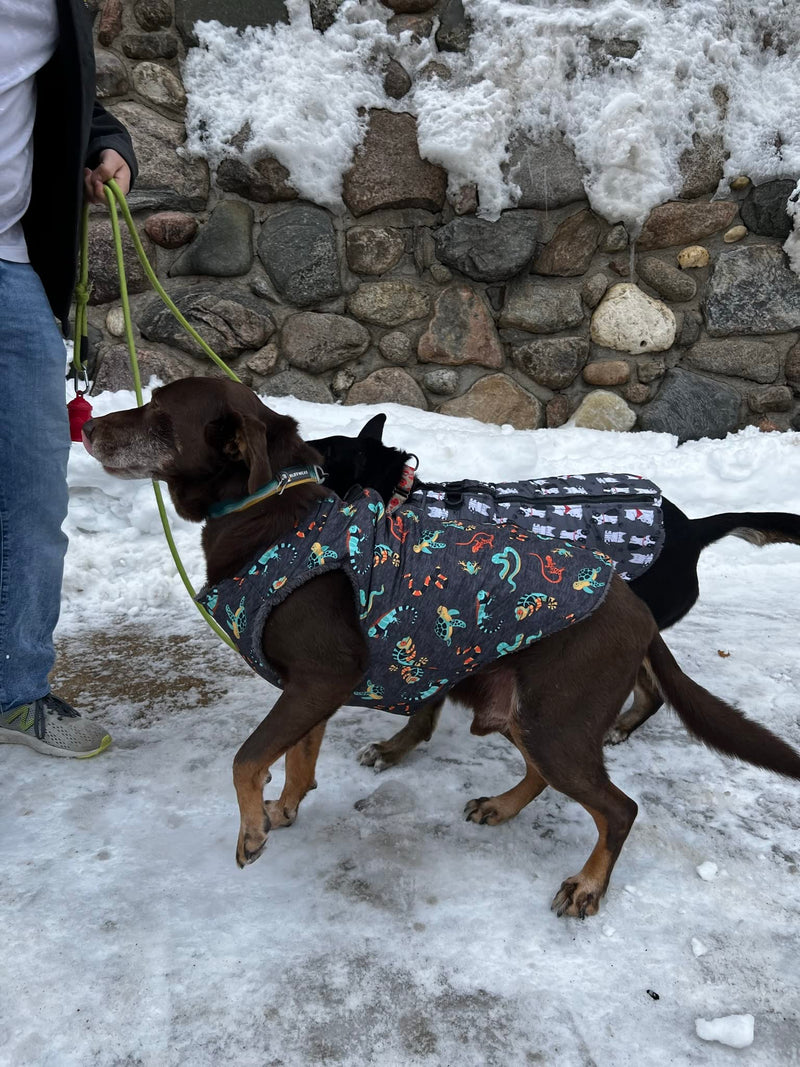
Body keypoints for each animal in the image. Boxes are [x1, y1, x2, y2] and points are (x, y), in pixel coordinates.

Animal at [311, 409, 800, 768]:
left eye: (322, 453)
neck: (401, 496)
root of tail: (693, 530)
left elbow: (424, 710)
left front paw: (392, 750)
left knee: (653, 690)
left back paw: (618, 726)